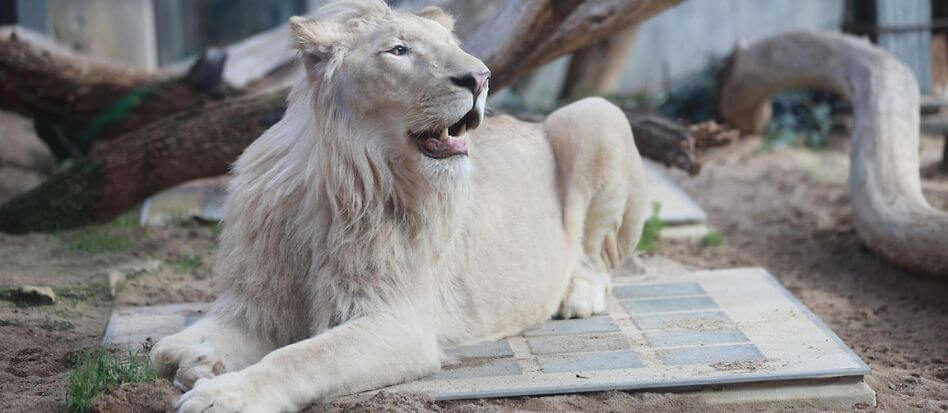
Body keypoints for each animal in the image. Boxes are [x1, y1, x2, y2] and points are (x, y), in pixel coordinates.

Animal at [152, 1, 648, 410]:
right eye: (399, 50)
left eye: (455, 48)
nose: (481, 77)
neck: (340, 181)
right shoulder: (260, 301)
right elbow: (181, 344)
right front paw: (193, 356)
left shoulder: (398, 322)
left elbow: (301, 357)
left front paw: (223, 394)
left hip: (594, 114)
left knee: (597, 258)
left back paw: (577, 294)